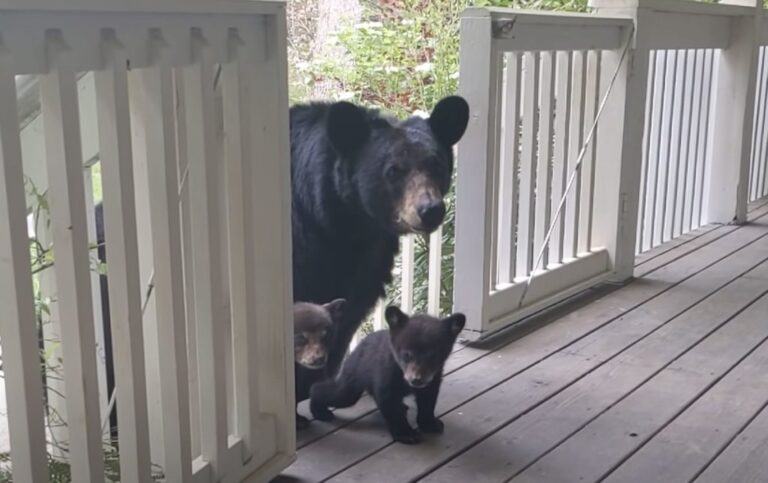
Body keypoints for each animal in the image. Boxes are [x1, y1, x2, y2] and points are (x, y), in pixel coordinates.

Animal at [292, 300, 344, 430]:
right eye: (301, 337)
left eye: (325, 335)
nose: (319, 358)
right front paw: (298, 421)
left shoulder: (316, 371)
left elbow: (318, 385)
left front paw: (321, 412)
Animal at [308, 308, 464, 444]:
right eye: (407, 355)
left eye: (433, 356)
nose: (416, 379)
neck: (402, 375)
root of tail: (358, 347)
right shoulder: (385, 373)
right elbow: (389, 402)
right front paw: (406, 433)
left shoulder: (433, 379)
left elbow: (428, 401)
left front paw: (430, 423)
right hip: (353, 376)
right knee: (336, 392)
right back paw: (319, 411)